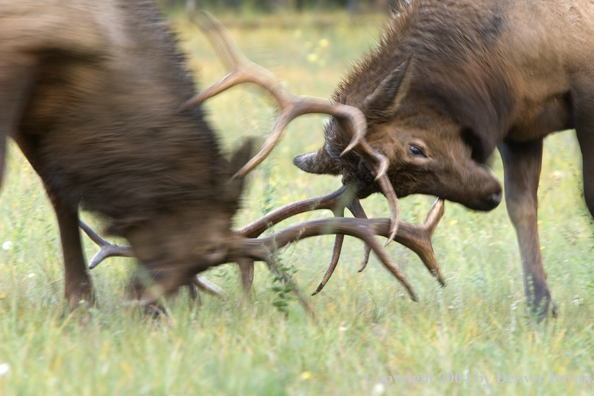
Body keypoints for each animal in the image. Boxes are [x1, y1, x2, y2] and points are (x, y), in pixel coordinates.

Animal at [290, 0, 592, 318]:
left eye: (415, 149)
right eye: (395, 189)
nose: (489, 196)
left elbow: (589, 200)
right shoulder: (519, 127)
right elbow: (522, 208)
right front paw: (541, 308)